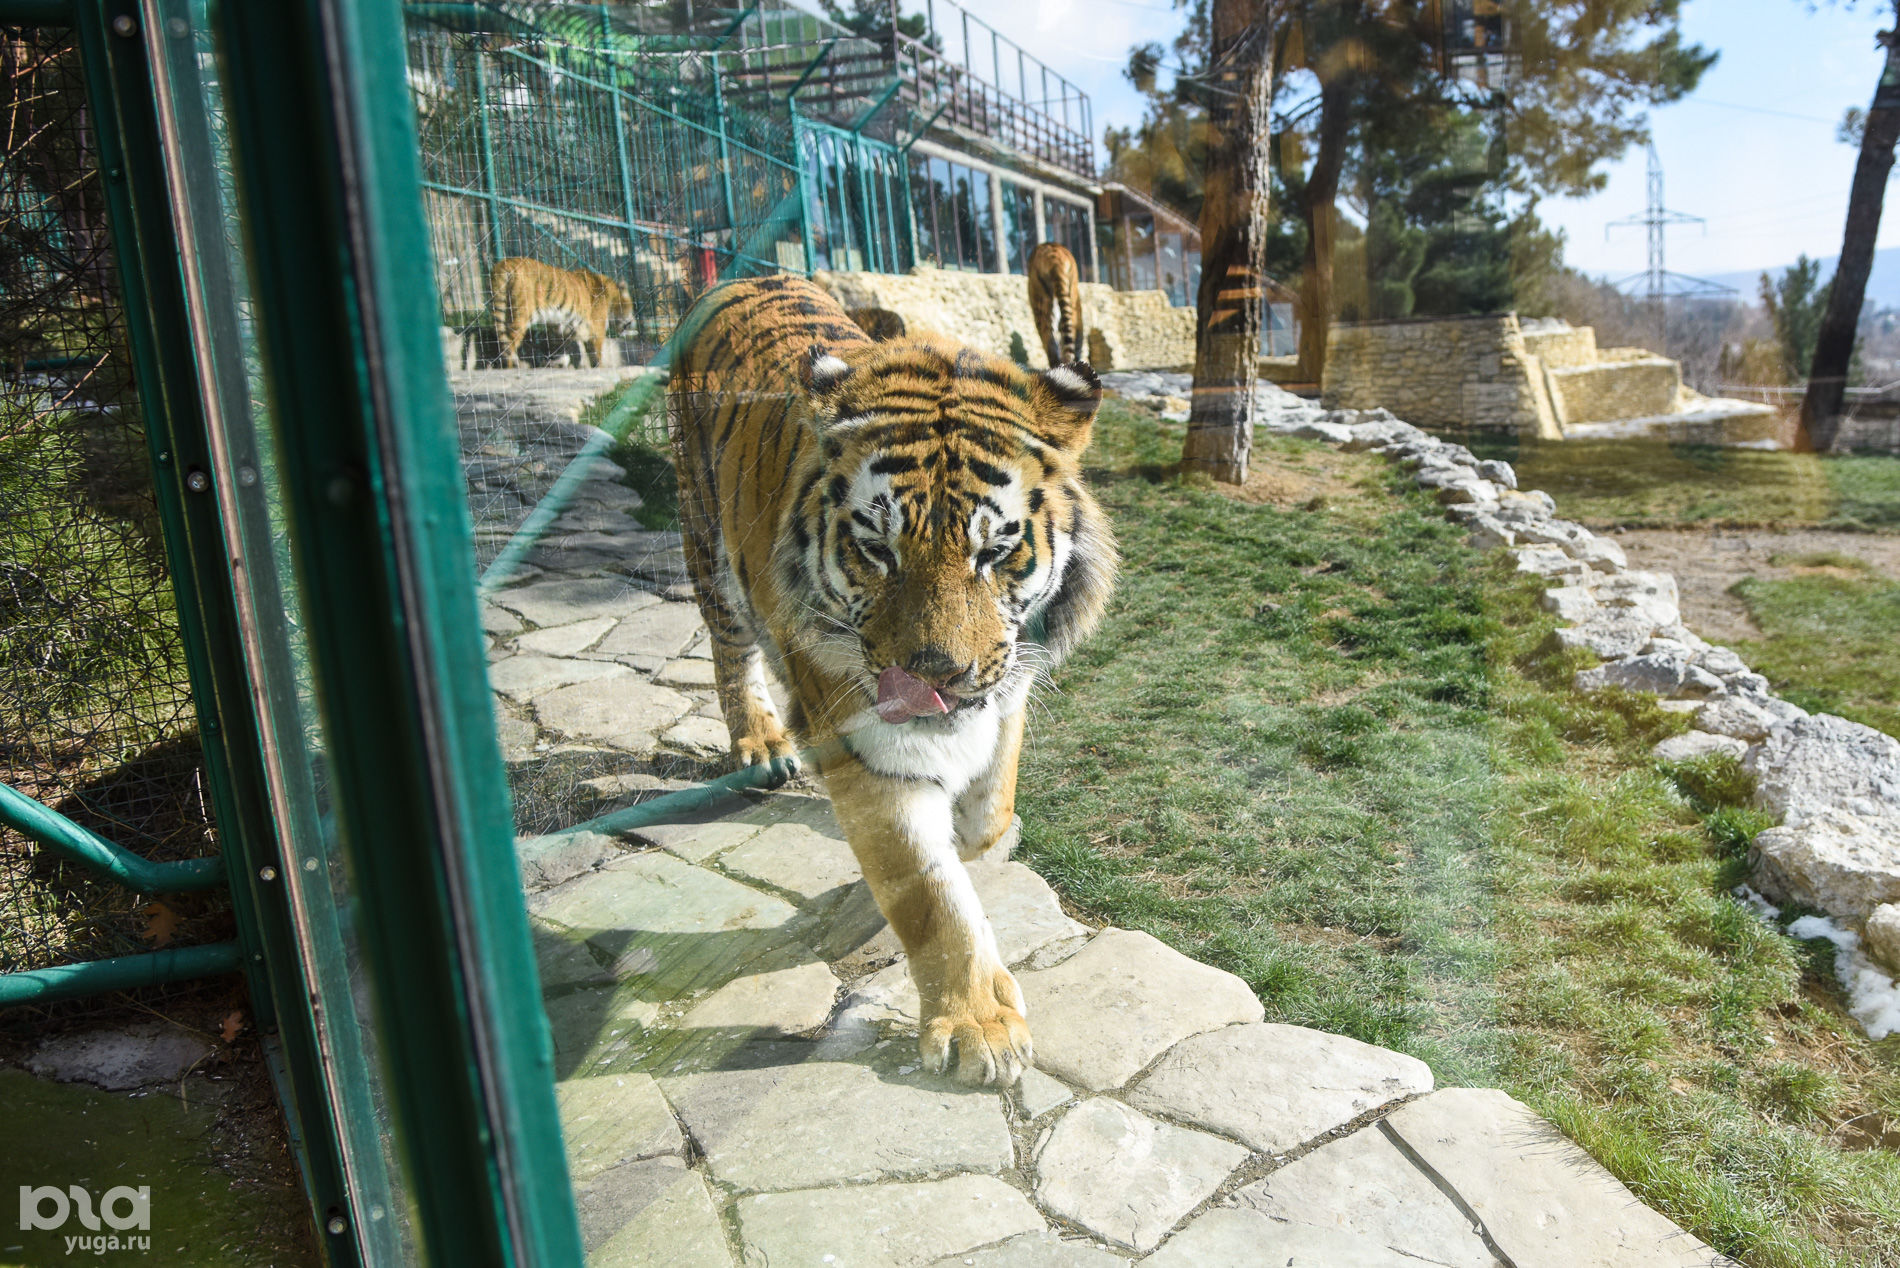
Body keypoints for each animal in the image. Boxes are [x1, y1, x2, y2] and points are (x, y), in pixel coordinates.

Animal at [486, 254, 634, 368]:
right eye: (632, 308)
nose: (633, 322)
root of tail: (504, 263)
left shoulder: (564, 329)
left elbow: (564, 350)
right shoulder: (596, 330)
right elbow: (595, 354)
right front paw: (600, 368)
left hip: (503, 311)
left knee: (502, 341)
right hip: (521, 315)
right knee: (509, 343)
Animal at [672, 273, 1117, 1087]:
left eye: (994, 551)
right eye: (878, 549)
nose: (932, 678)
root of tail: (740, 275)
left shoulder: (1008, 688)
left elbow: (985, 824)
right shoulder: (866, 745)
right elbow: (925, 886)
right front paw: (979, 1028)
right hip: (707, 543)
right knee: (729, 649)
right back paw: (759, 743)